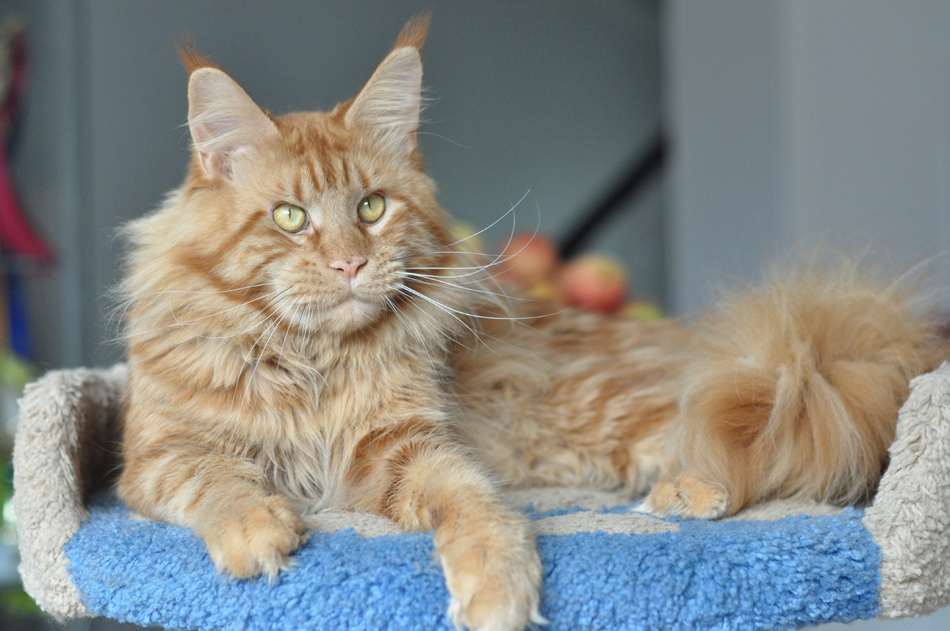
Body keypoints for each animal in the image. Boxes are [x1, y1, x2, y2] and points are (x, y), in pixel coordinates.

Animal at [115, 16, 948, 631]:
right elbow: (218, 476)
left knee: (772, 452)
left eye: (371, 208)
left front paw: (498, 592)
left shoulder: (408, 454)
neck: (313, 360)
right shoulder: (158, 455)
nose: (351, 264)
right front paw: (257, 529)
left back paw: (687, 493)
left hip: (646, 410)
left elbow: (479, 509)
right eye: (290, 218)